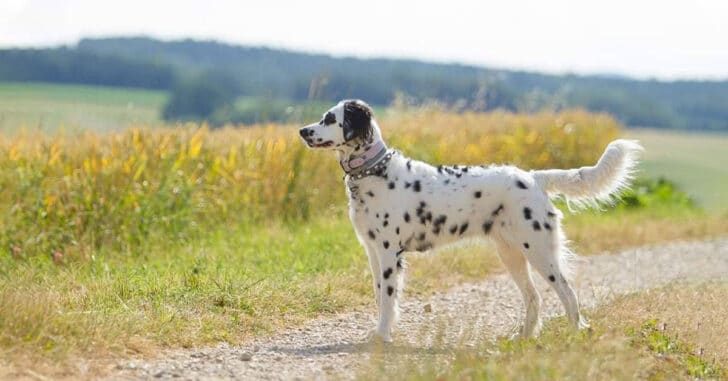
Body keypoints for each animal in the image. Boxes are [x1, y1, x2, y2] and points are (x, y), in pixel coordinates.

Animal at [298, 98, 640, 342]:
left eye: (329, 119)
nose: (302, 131)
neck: (376, 172)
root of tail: (533, 177)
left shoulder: (388, 252)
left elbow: (388, 298)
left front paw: (382, 336)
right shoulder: (372, 251)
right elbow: (381, 295)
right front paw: (383, 331)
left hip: (540, 251)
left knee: (567, 293)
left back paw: (575, 335)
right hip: (511, 254)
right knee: (534, 298)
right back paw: (523, 337)